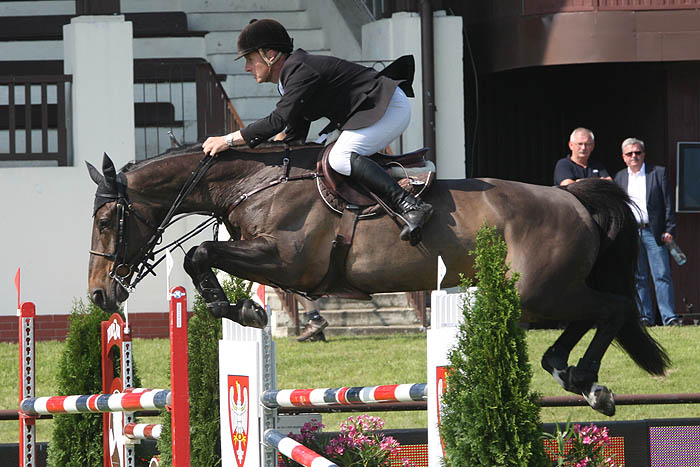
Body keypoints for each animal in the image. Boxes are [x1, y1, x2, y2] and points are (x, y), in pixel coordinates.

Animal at [86, 142, 669, 416]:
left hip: (541, 292)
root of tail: (576, 199)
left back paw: (588, 382)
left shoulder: (287, 262)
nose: (99, 294)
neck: (254, 182)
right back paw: (570, 374)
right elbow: (203, 256)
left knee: (612, 308)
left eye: (105, 219)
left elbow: (200, 254)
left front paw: (243, 309)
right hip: (539, 296)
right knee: (589, 317)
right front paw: (237, 308)